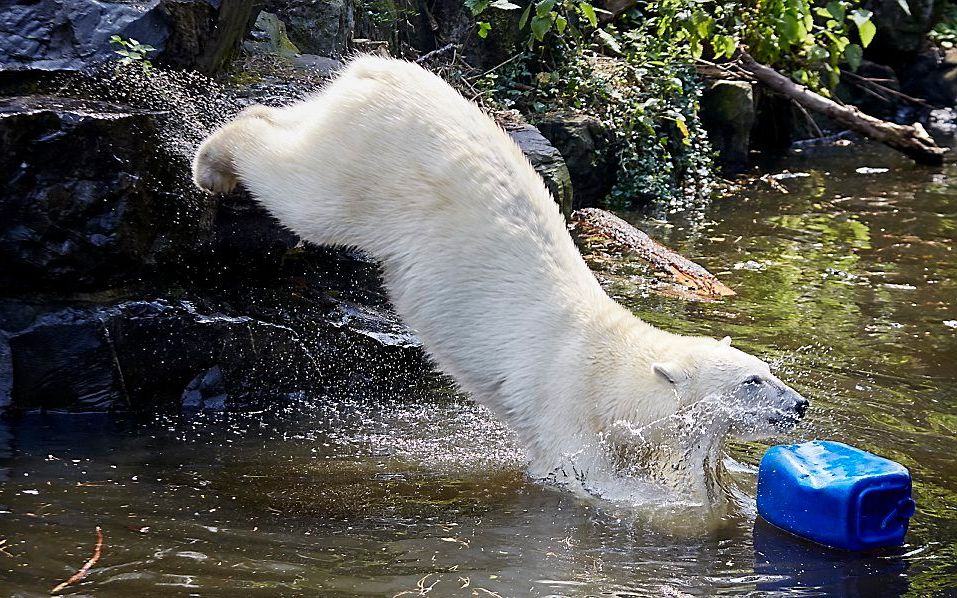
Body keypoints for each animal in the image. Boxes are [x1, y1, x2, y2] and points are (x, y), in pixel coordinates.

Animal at [194, 56, 808, 500]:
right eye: (752, 382)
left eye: (767, 371)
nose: (800, 405)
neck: (616, 372)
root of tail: (378, 68)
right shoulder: (568, 398)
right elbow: (577, 473)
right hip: (372, 169)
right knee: (304, 191)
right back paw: (214, 163)